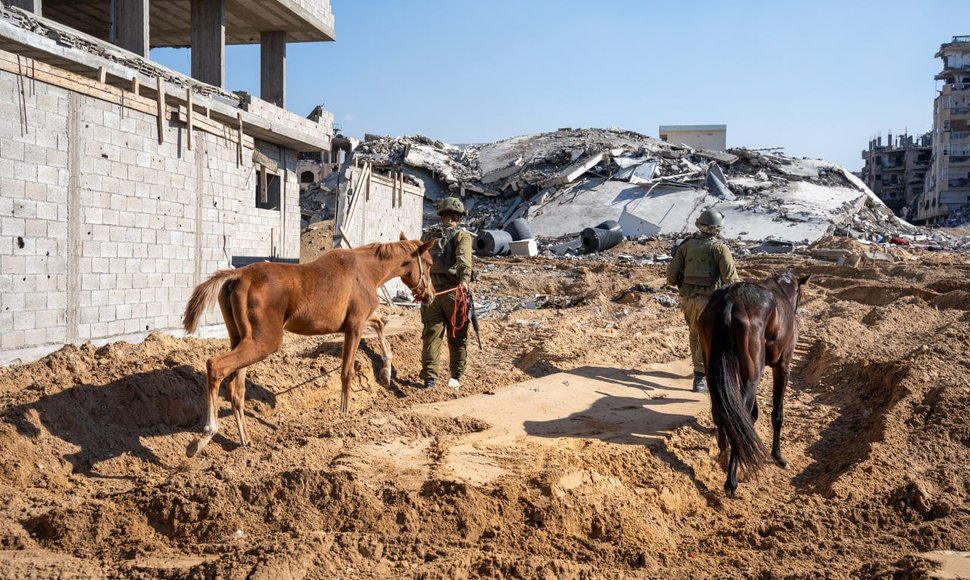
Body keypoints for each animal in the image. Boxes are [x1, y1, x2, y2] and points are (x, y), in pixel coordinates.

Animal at [181, 233, 434, 456]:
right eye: (430, 264)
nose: (430, 295)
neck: (366, 271)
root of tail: (238, 275)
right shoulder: (354, 325)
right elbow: (347, 372)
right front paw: (343, 417)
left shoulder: (361, 320)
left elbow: (381, 324)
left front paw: (386, 374)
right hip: (263, 341)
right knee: (215, 365)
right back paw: (204, 436)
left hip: (241, 338)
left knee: (236, 389)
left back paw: (245, 442)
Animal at [696, 270, 808, 496]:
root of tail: (730, 298)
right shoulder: (782, 367)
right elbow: (777, 414)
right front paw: (778, 456)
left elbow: (753, 413)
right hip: (753, 374)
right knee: (741, 415)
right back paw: (731, 481)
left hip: (714, 368)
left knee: (721, 409)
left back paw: (724, 452)